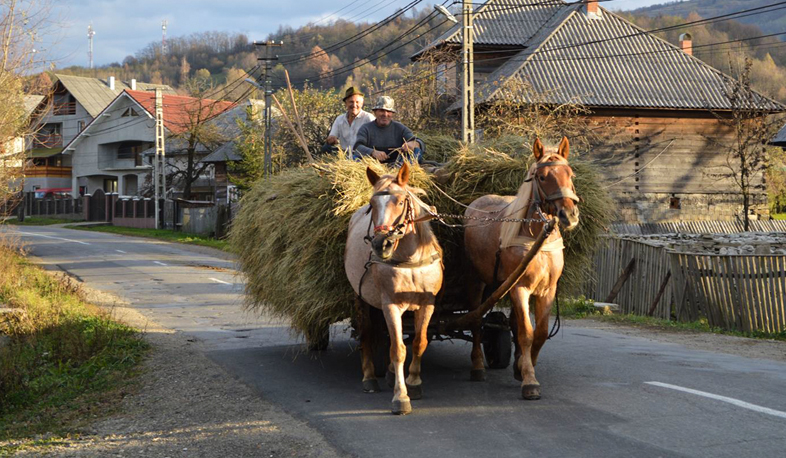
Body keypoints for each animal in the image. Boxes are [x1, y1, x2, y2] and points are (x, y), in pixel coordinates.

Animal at [342, 161, 444, 416]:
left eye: (400, 201)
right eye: (371, 204)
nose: (382, 244)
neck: (410, 259)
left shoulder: (427, 304)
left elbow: (419, 342)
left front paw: (414, 383)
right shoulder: (391, 304)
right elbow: (398, 349)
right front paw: (401, 397)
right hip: (362, 299)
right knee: (368, 333)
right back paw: (370, 378)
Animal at [462, 137, 580, 400]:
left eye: (570, 174)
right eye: (542, 177)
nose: (569, 214)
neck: (536, 239)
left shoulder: (547, 291)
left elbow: (540, 333)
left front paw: (523, 367)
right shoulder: (520, 288)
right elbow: (526, 333)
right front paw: (529, 380)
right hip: (476, 282)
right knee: (475, 321)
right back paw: (477, 366)